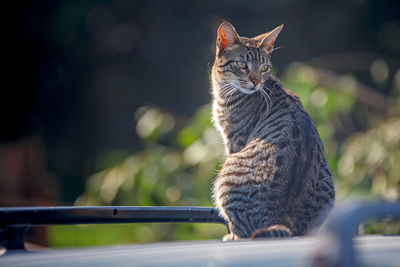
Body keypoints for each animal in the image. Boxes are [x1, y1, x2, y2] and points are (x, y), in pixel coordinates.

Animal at [211, 22, 336, 241]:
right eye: (242, 65)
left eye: (264, 68)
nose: (256, 81)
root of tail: (287, 222)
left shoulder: (233, 141)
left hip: (225, 178)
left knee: (243, 231)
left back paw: (232, 236)